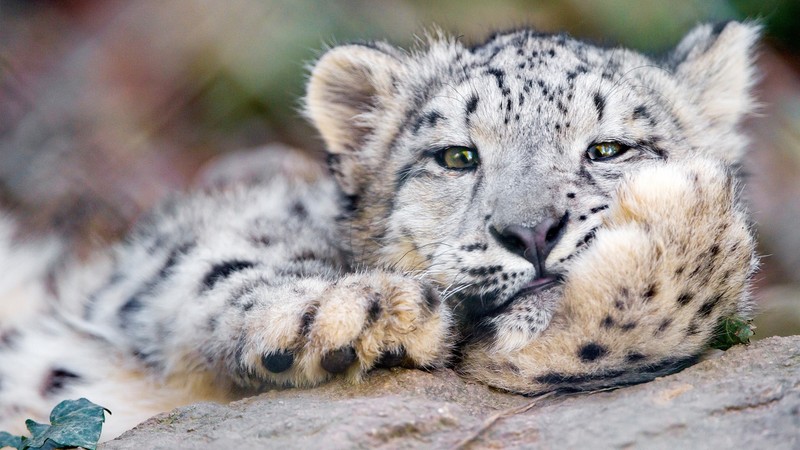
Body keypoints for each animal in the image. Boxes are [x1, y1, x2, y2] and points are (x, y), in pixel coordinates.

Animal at [0, 21, 759, 441]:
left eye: (608, 149)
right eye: (457, 156)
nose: (532, 231)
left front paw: (688, 219)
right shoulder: (166, 257)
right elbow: (217, 263)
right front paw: (354, 313)